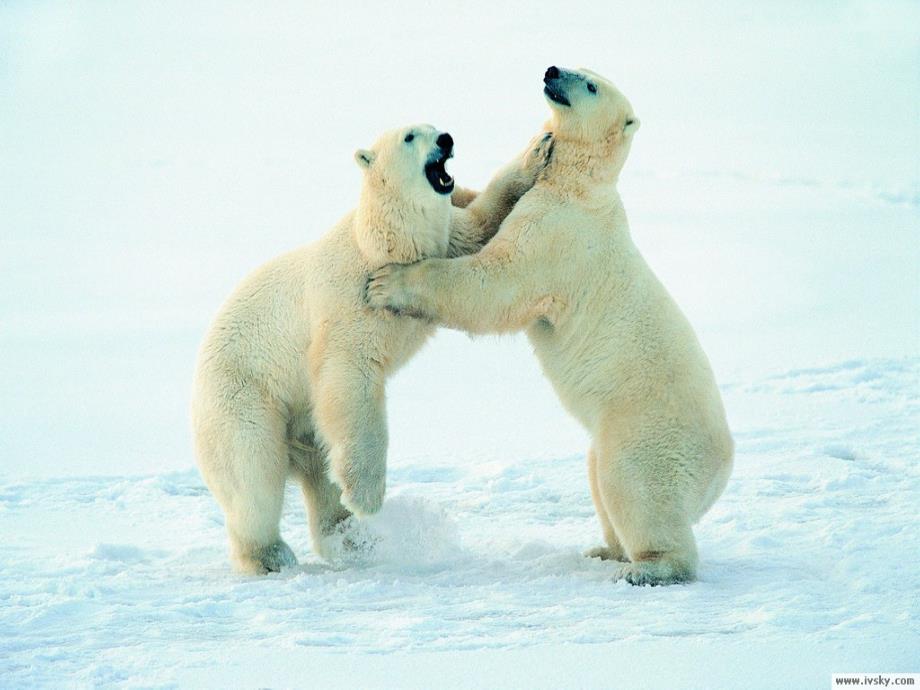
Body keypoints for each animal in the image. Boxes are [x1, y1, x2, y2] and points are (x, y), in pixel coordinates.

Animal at [192, 125, 548, 576]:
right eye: (411, 136)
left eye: (436, 126)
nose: (446, 139)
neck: (381, 242)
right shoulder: (348, 303)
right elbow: (350, 378)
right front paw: (366, 497)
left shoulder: (445, 243)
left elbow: (477, 227)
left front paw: (536, 154)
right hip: (244, 397)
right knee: (253, 475)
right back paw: (270, 555)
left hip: (306, 426)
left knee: (322, 475)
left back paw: (351, 539)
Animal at [366, 67, 732, 584]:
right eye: (578, 67)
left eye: (592, 85)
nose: (552, 71)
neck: (580, 188)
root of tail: (720, 472)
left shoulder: (557, 237)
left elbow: (495, 283)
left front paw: (389, 283)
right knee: (599, 479)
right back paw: (606, 550)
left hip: (648, 432)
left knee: (632, 487)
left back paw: (648, 567)